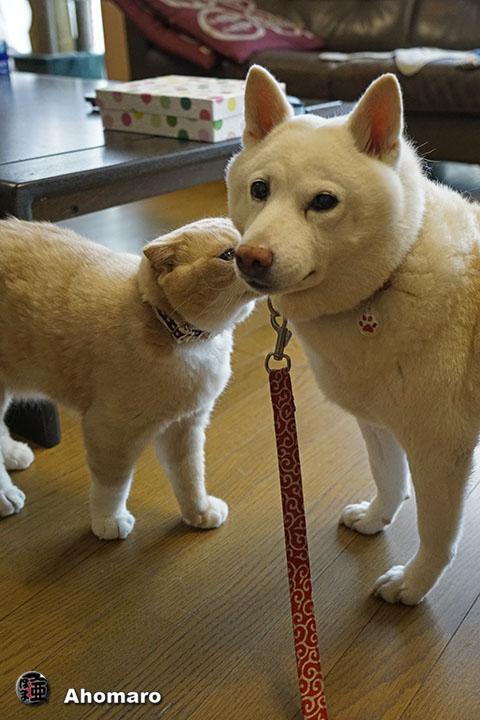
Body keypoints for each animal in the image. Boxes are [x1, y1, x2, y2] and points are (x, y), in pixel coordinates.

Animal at [226, 66, 480, 604]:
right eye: (259, 190)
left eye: (324, 202)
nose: (249, 258)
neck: (390, 278)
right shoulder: (377, 421)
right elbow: (387, 477)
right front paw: (375, 519)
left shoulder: (440, 448)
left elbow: (436, 532)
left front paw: (413, 584)